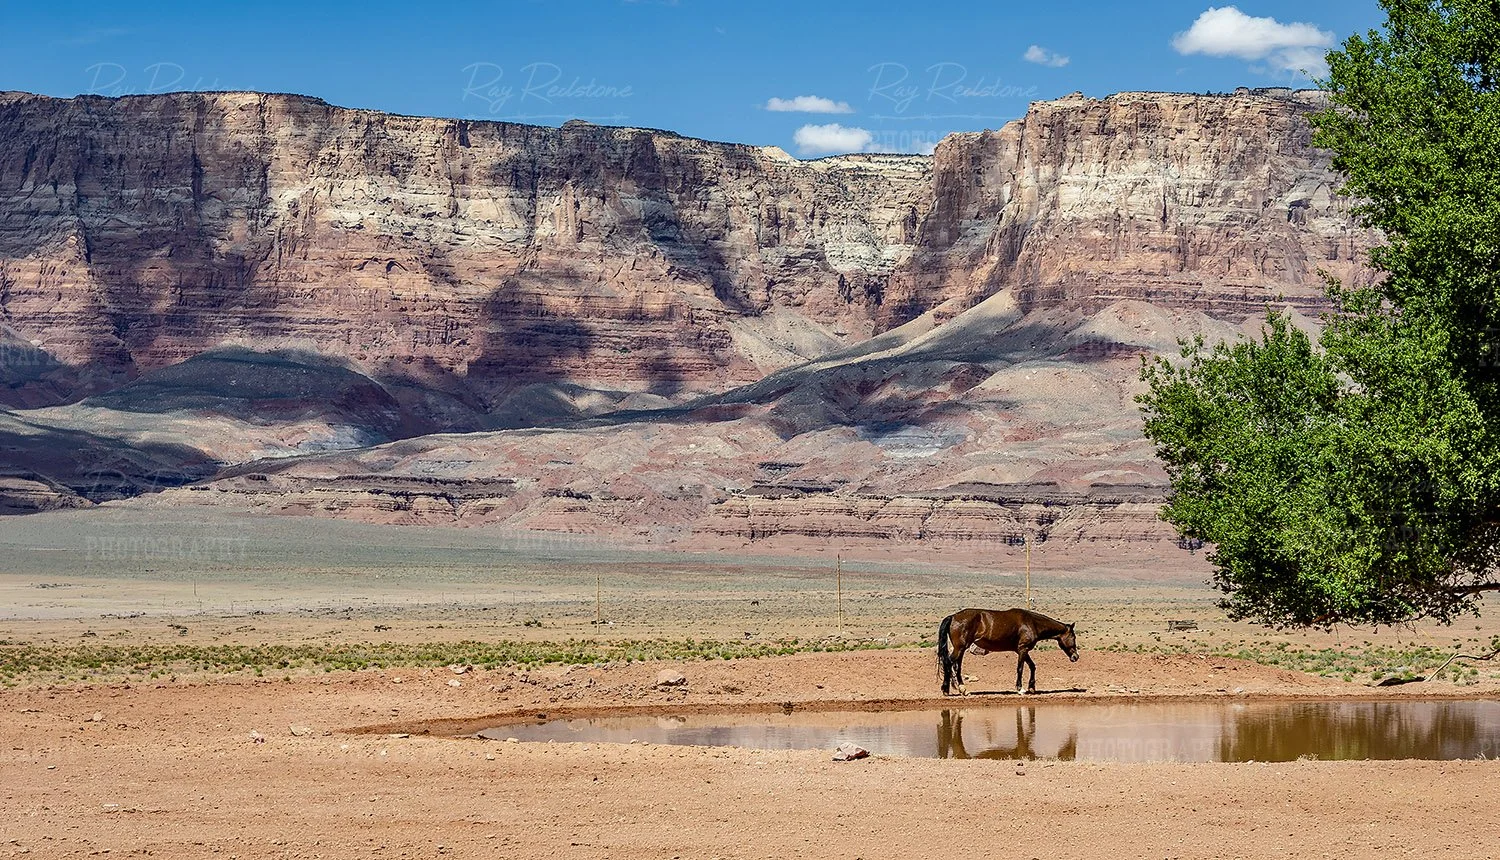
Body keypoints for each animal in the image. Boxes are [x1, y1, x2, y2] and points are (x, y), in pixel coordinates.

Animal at [937, 607, 1079, 696]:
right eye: (1073, 637)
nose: (1076, 657)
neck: (1032, 623)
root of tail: (953, 617)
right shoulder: (1023, 649)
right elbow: (1020, 668)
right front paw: (1020, 689)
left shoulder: (1022, 650)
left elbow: (1032, 666)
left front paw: (1032, 688)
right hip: (959, 648)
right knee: (949, 663)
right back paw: (947, 690)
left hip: (961, 649)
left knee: (956, 666)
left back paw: (962, 690)